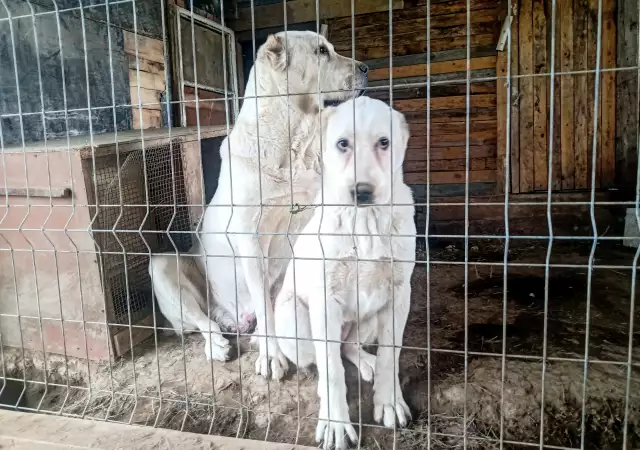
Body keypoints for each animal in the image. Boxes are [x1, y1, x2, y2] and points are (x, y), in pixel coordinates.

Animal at [195, 30, 368, 376]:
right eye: (321, 51)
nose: (366, 67)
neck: (291, 142)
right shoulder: (249, 239)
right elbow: (265, 305)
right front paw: (272, 355)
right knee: (206, 318)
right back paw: (220, 341)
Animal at [274, 96, 416, 448]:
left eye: (384, 143)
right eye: (342, 144)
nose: (362, 191)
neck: (364, 221)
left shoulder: (399, 293)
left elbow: (391, 354)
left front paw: (389, 401)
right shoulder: (325, 301)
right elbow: (332, 371)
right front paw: (335, 422)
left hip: (368, 319)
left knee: (349, 347)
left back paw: (367, 362)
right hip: (295, 319)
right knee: (321, 357)